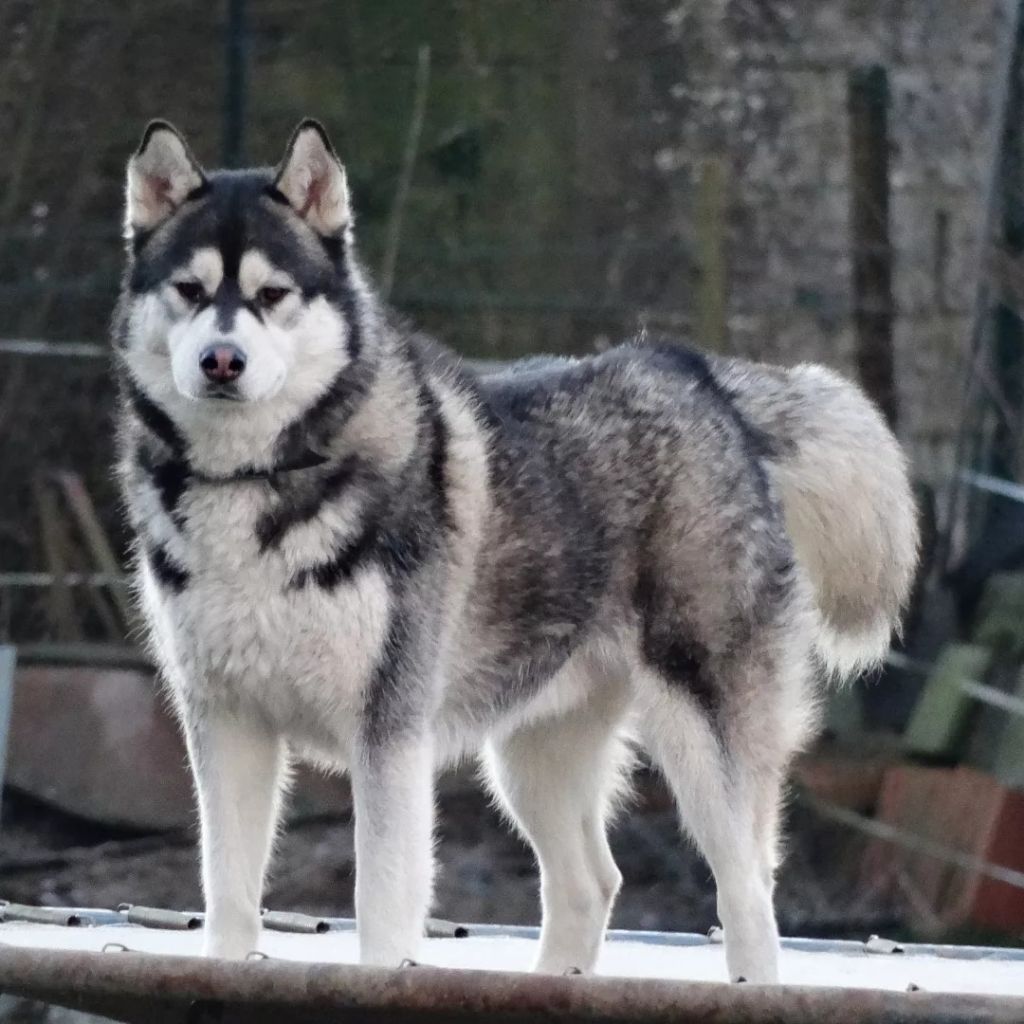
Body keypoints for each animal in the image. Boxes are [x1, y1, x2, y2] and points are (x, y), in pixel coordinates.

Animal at [116, 116, 917, 978]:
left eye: (271, 296)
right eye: (190, 291)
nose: (221, 361)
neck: (255, 481)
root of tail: (697, 373)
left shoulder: (388, 734)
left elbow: (381, 905)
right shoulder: (226, 724)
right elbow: (228, 897)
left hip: (704, 739)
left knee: (748, 893)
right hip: (532, 756)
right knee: (590, 883)